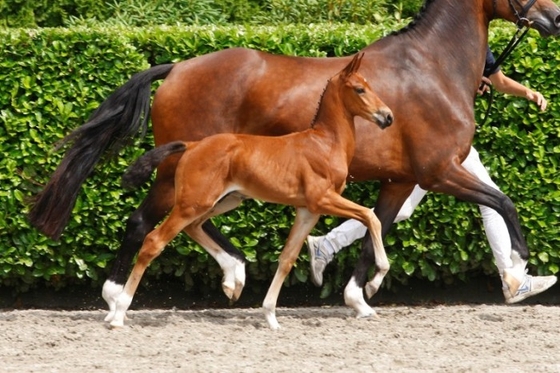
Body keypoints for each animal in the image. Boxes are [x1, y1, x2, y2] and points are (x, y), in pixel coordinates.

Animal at [109, 53, 392, 326]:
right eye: (359, 89)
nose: (388, 116)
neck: (325, 143)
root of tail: (192, 145)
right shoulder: (322, 199)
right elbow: (371, 216)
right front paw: (375, 279)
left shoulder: (307, 211)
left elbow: (287, 259)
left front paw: (270, 317)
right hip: (193, 203)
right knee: (153, 241)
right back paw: (118, 313)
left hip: (222, 201)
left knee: (194, 227)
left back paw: (231, 282)